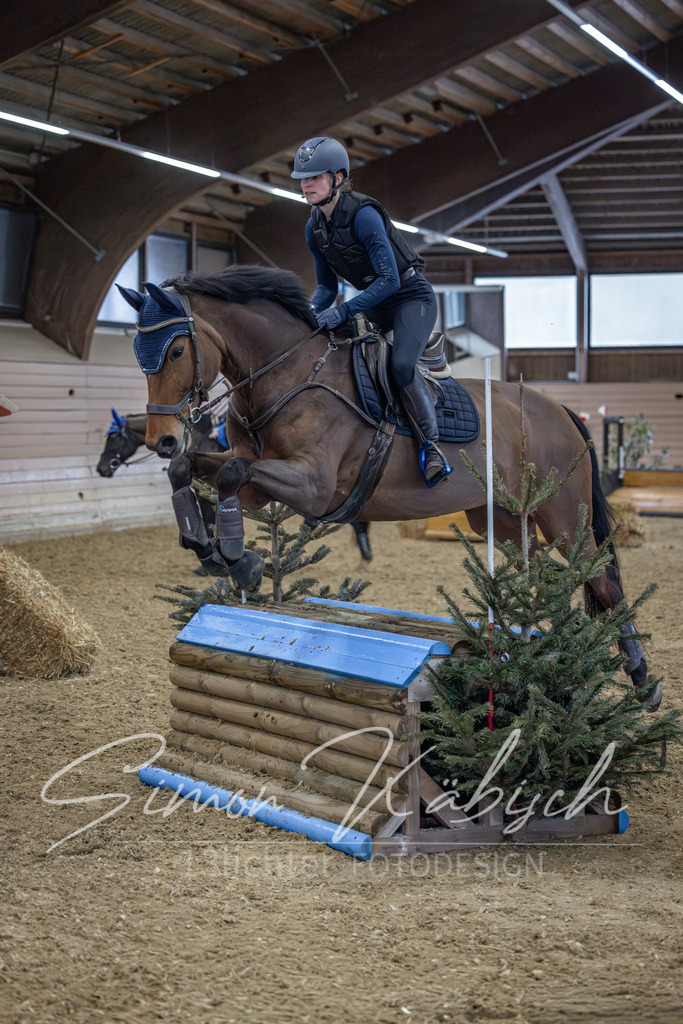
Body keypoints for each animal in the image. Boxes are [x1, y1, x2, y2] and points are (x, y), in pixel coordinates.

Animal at [118, 265, 660, 709]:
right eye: (139, 356)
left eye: (177, 350)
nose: (161, 438)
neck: (289, 375)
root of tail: (557, 409)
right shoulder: (258, 485)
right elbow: (193, 470)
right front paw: (206, 545)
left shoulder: (314, 486)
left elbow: (229, 474)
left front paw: (237, 557)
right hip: (505, 519)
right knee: (544, 575)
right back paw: (545, 652)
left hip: (564, 514)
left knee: (602, 580)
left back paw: (641, 681)